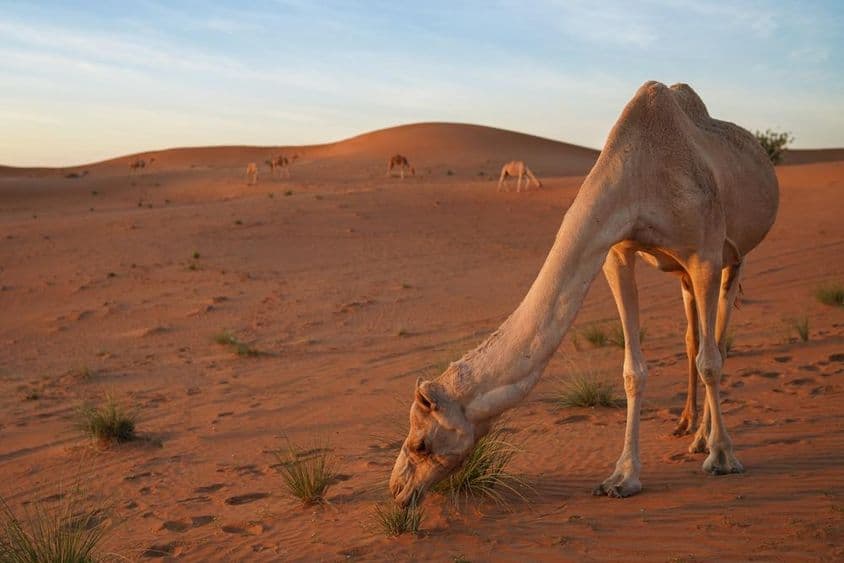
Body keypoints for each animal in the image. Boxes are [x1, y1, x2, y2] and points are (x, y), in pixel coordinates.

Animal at [390, 81, 778, 507]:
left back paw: (708, 439)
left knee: (717, 341)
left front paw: (723, 457)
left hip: (732, 258)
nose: (397, 489)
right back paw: (688, 430)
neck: (643, 173)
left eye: (421, 444)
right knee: (693, 336)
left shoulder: (705, 254)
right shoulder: (616, 253)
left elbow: (711, 361)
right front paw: (622, 477)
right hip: (682, 274)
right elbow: (632, 371)